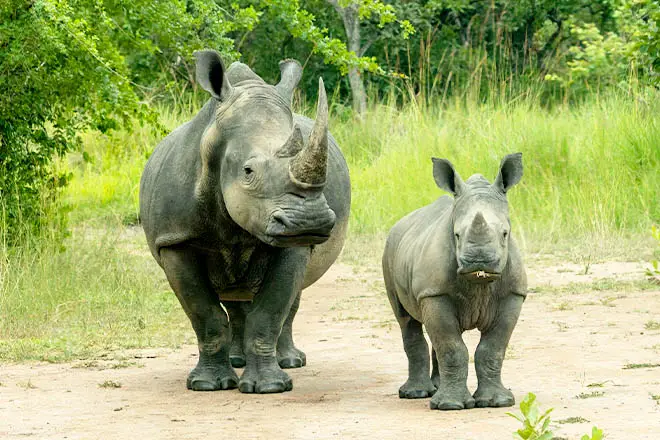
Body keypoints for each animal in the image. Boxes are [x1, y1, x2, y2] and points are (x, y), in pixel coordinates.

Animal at [139, 50, 350, 393]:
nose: (309, 221)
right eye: (248, 172)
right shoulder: (174, 240)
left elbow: (270, 311)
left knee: (286, 297)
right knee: (235, 298)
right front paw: (207, 385)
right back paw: (237, 361)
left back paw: (289, 361)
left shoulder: (293, 244)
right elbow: (205, 314)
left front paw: (270, 387)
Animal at [382, 153, 527, 410]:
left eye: (505, 233)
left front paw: (497, 402)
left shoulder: (513, 294)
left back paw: (435, 388)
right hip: (389, 250)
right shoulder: (434, 292)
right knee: (406, 320)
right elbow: (451, 347)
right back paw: (416, 393)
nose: (479, 261)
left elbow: (493, 348)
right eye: (457, 235)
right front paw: (450, 406)